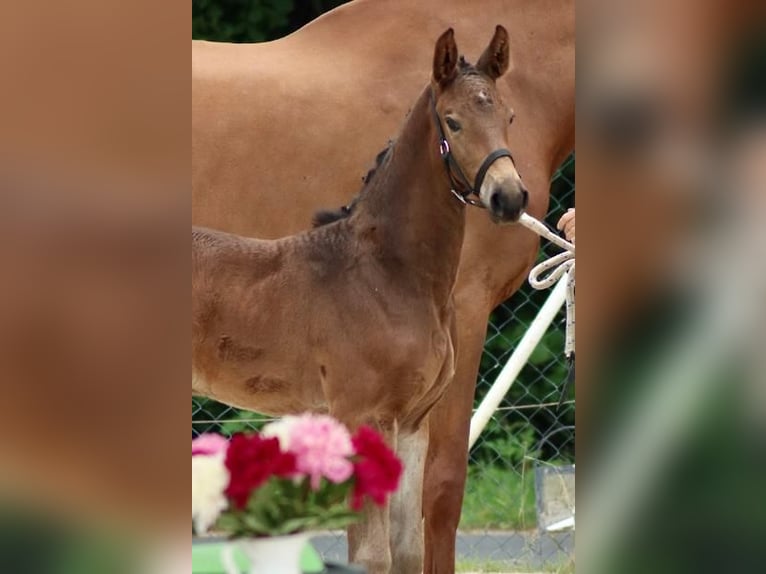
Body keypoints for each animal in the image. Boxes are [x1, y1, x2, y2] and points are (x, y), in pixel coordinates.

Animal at [192, 27, 528, 574]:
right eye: (453, 120)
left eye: (509, 115)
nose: (510, 198)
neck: (390, 273)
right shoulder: (366, 418)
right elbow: (373, 555)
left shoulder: (412, 425)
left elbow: (407, 550)